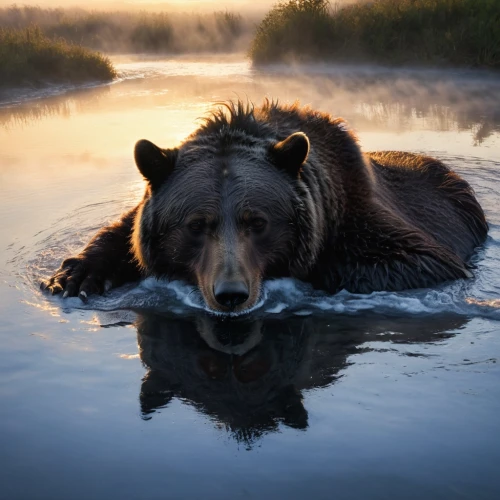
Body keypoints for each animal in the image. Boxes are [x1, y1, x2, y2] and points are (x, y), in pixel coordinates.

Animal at [42, 99, 488, 312]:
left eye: (257, 221)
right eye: (196, 224)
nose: (231, 293)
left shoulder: (362, 211)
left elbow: (419, 259)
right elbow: (116, 236)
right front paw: (73, 277)